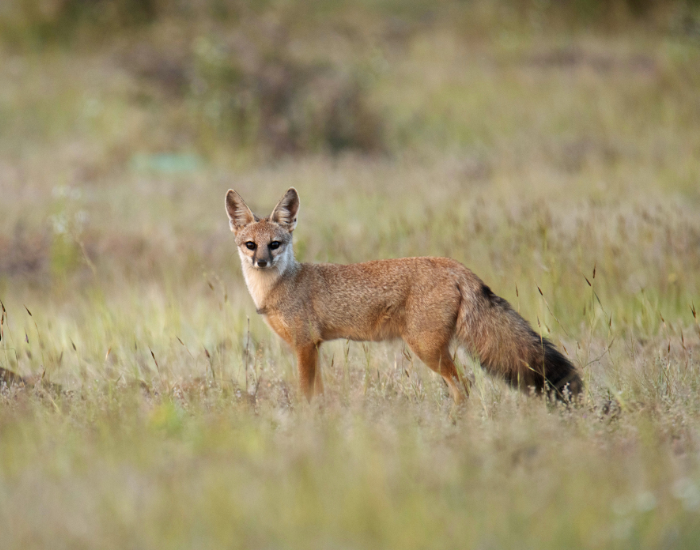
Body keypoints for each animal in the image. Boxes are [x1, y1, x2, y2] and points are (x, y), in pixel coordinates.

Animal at [225, 187, 582, 404]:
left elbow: (305, 397)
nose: (261, 262)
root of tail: (453, 265)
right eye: (250, 245)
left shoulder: (304, 346)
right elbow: (321, 397)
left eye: (274, 244)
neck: (281, 285)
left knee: (463, 388)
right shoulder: (314, 347)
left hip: (427, 349)